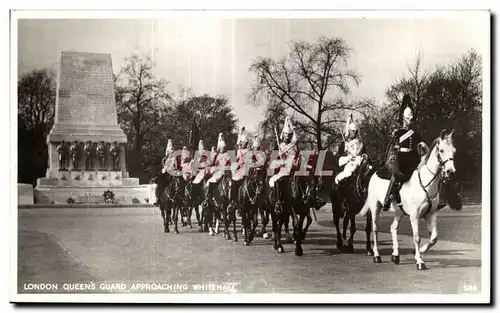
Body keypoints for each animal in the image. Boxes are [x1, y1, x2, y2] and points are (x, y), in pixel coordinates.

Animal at [360, 128, 460, 270]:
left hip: (399, 212)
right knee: (375, 229)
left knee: (393, 228)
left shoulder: (431, 214)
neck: (425, 184)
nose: (450, 171)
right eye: (441, 150)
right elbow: (417, 237)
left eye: (454, 151)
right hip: (375, 207)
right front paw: (419, 261)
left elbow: (434, 238)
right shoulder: (414, 216)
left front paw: (421, 251)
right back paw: (376, 255)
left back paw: (395, 255)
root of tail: (374, 173)